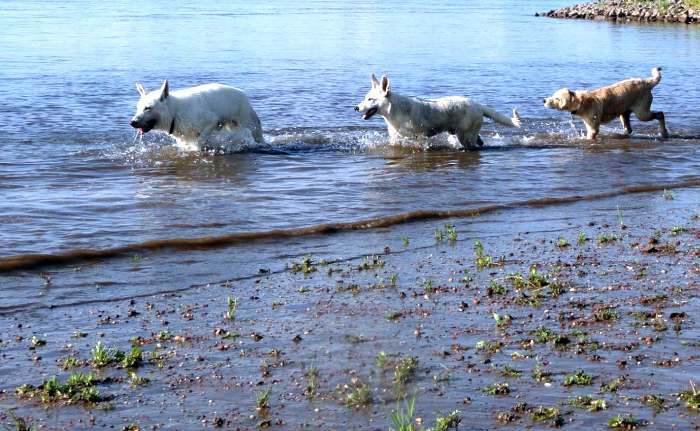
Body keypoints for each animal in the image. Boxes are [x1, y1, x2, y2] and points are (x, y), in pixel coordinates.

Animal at [130, 80, 264, 153]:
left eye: (148, 108)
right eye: (138, 108)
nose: (132, 122)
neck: (175, 112)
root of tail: (243, 93)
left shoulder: (211, 121)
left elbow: (200, 141)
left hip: (251, 125)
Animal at [356, 73, 520, 150]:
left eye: (370, 99)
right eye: (365, 98)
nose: (355, 107)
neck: (394, 111)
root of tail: (478, 105)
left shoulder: (419, 137)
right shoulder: (395, 138)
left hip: (464, 136)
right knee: (479, 140)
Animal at [540, 67, 668, 140]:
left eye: (557, 98)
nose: (544, 100)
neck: (581, 102)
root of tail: (647, 82)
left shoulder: (593, 127)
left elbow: (590, 135)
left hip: (642, 112)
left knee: (660, 114)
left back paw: (664, 132)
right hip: (624, 112)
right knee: (628, 128)